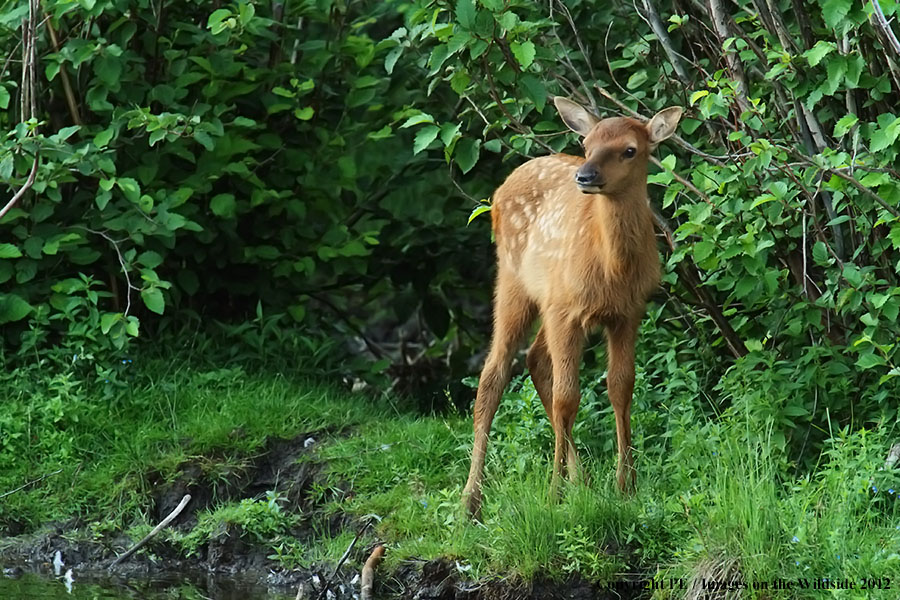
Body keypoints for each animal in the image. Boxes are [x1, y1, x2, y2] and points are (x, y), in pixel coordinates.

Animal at [464, 97, 684, 516]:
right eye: (587, 143)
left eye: (630, 150)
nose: (585, 176)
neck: (612, 269)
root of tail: (498, 192)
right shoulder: (565, 310)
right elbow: (568, 397)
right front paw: (553, 494)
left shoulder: (629, 313)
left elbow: (620, 387)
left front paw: (625, 486)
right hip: (515, 283)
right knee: (494, 373)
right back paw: (471, 502)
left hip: (547, 303)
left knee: (535, 360)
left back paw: (581, 480)